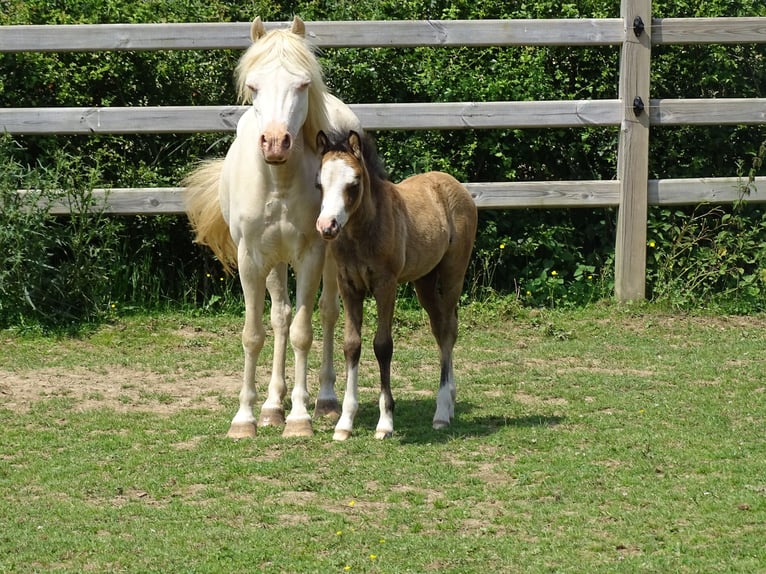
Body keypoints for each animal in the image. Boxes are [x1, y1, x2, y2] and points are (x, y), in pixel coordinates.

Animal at [184, 18, 362, 440]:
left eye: (302, 84)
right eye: (253, 86)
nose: (276, 142)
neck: (278, 182)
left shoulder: (311, 254)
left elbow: (303, 332)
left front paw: (299, 418)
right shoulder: (252, 258)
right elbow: (255, 333)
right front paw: (247, 417)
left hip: (330, 257)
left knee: (327, 313)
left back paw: (325, 401)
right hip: (275, 261)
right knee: (280, 315)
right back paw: (272, 405)